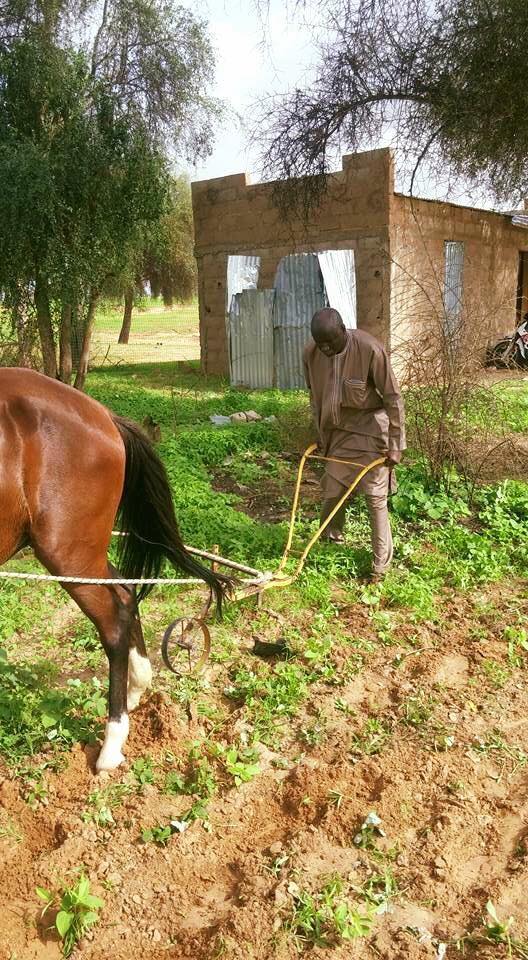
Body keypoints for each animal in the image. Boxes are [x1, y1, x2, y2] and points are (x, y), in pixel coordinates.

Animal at [0, 368, 229, 772]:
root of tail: (104, 416)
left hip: (70, 554)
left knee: (113, 620)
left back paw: (112, 740)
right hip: (86, 554)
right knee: (125, 591)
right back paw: (137, 686)